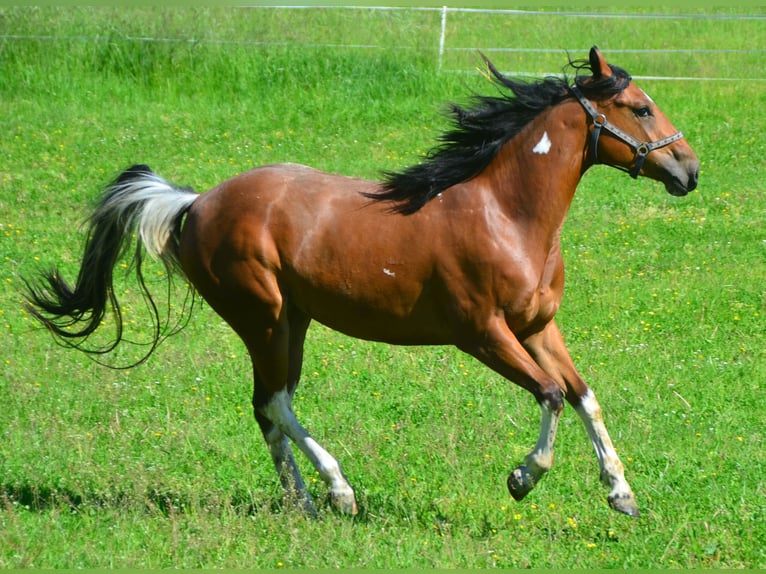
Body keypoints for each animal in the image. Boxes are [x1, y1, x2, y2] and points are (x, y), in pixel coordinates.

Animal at [24, 47, 704, 520]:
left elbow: (584, 395)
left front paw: (621, 494)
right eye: (641, 108)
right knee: (275, 401)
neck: (506, 214)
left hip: (289, 320)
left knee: (268, 406)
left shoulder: (537, 327)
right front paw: (521, 479)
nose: (690, 170)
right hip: (263, 316)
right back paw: (340, 492)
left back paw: (303, 502)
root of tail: (195, 203)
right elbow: (551, 394)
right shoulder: (482, 333)